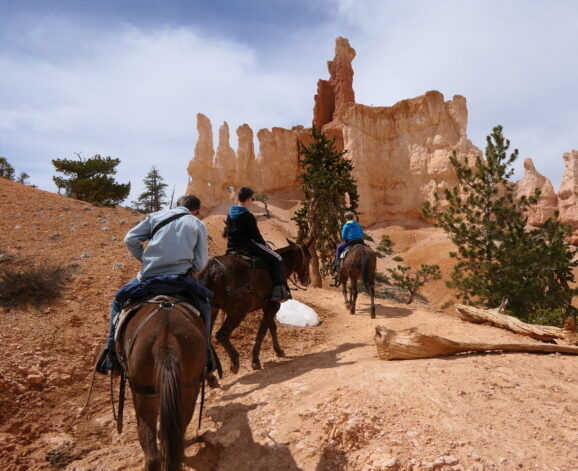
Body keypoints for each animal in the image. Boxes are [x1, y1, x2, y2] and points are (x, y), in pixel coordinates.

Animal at [199, 233, 316, 376]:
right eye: (309, 257)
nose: (307, 280)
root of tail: (211, 272)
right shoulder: (273, 305)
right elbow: (263, 330)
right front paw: (255, 359)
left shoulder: (267, 306)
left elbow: (271, 327)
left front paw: (278, 350)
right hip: (238, 312)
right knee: (221, 335)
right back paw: (234, 361)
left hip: (212, 311)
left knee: (207, 339)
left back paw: (209, 374)